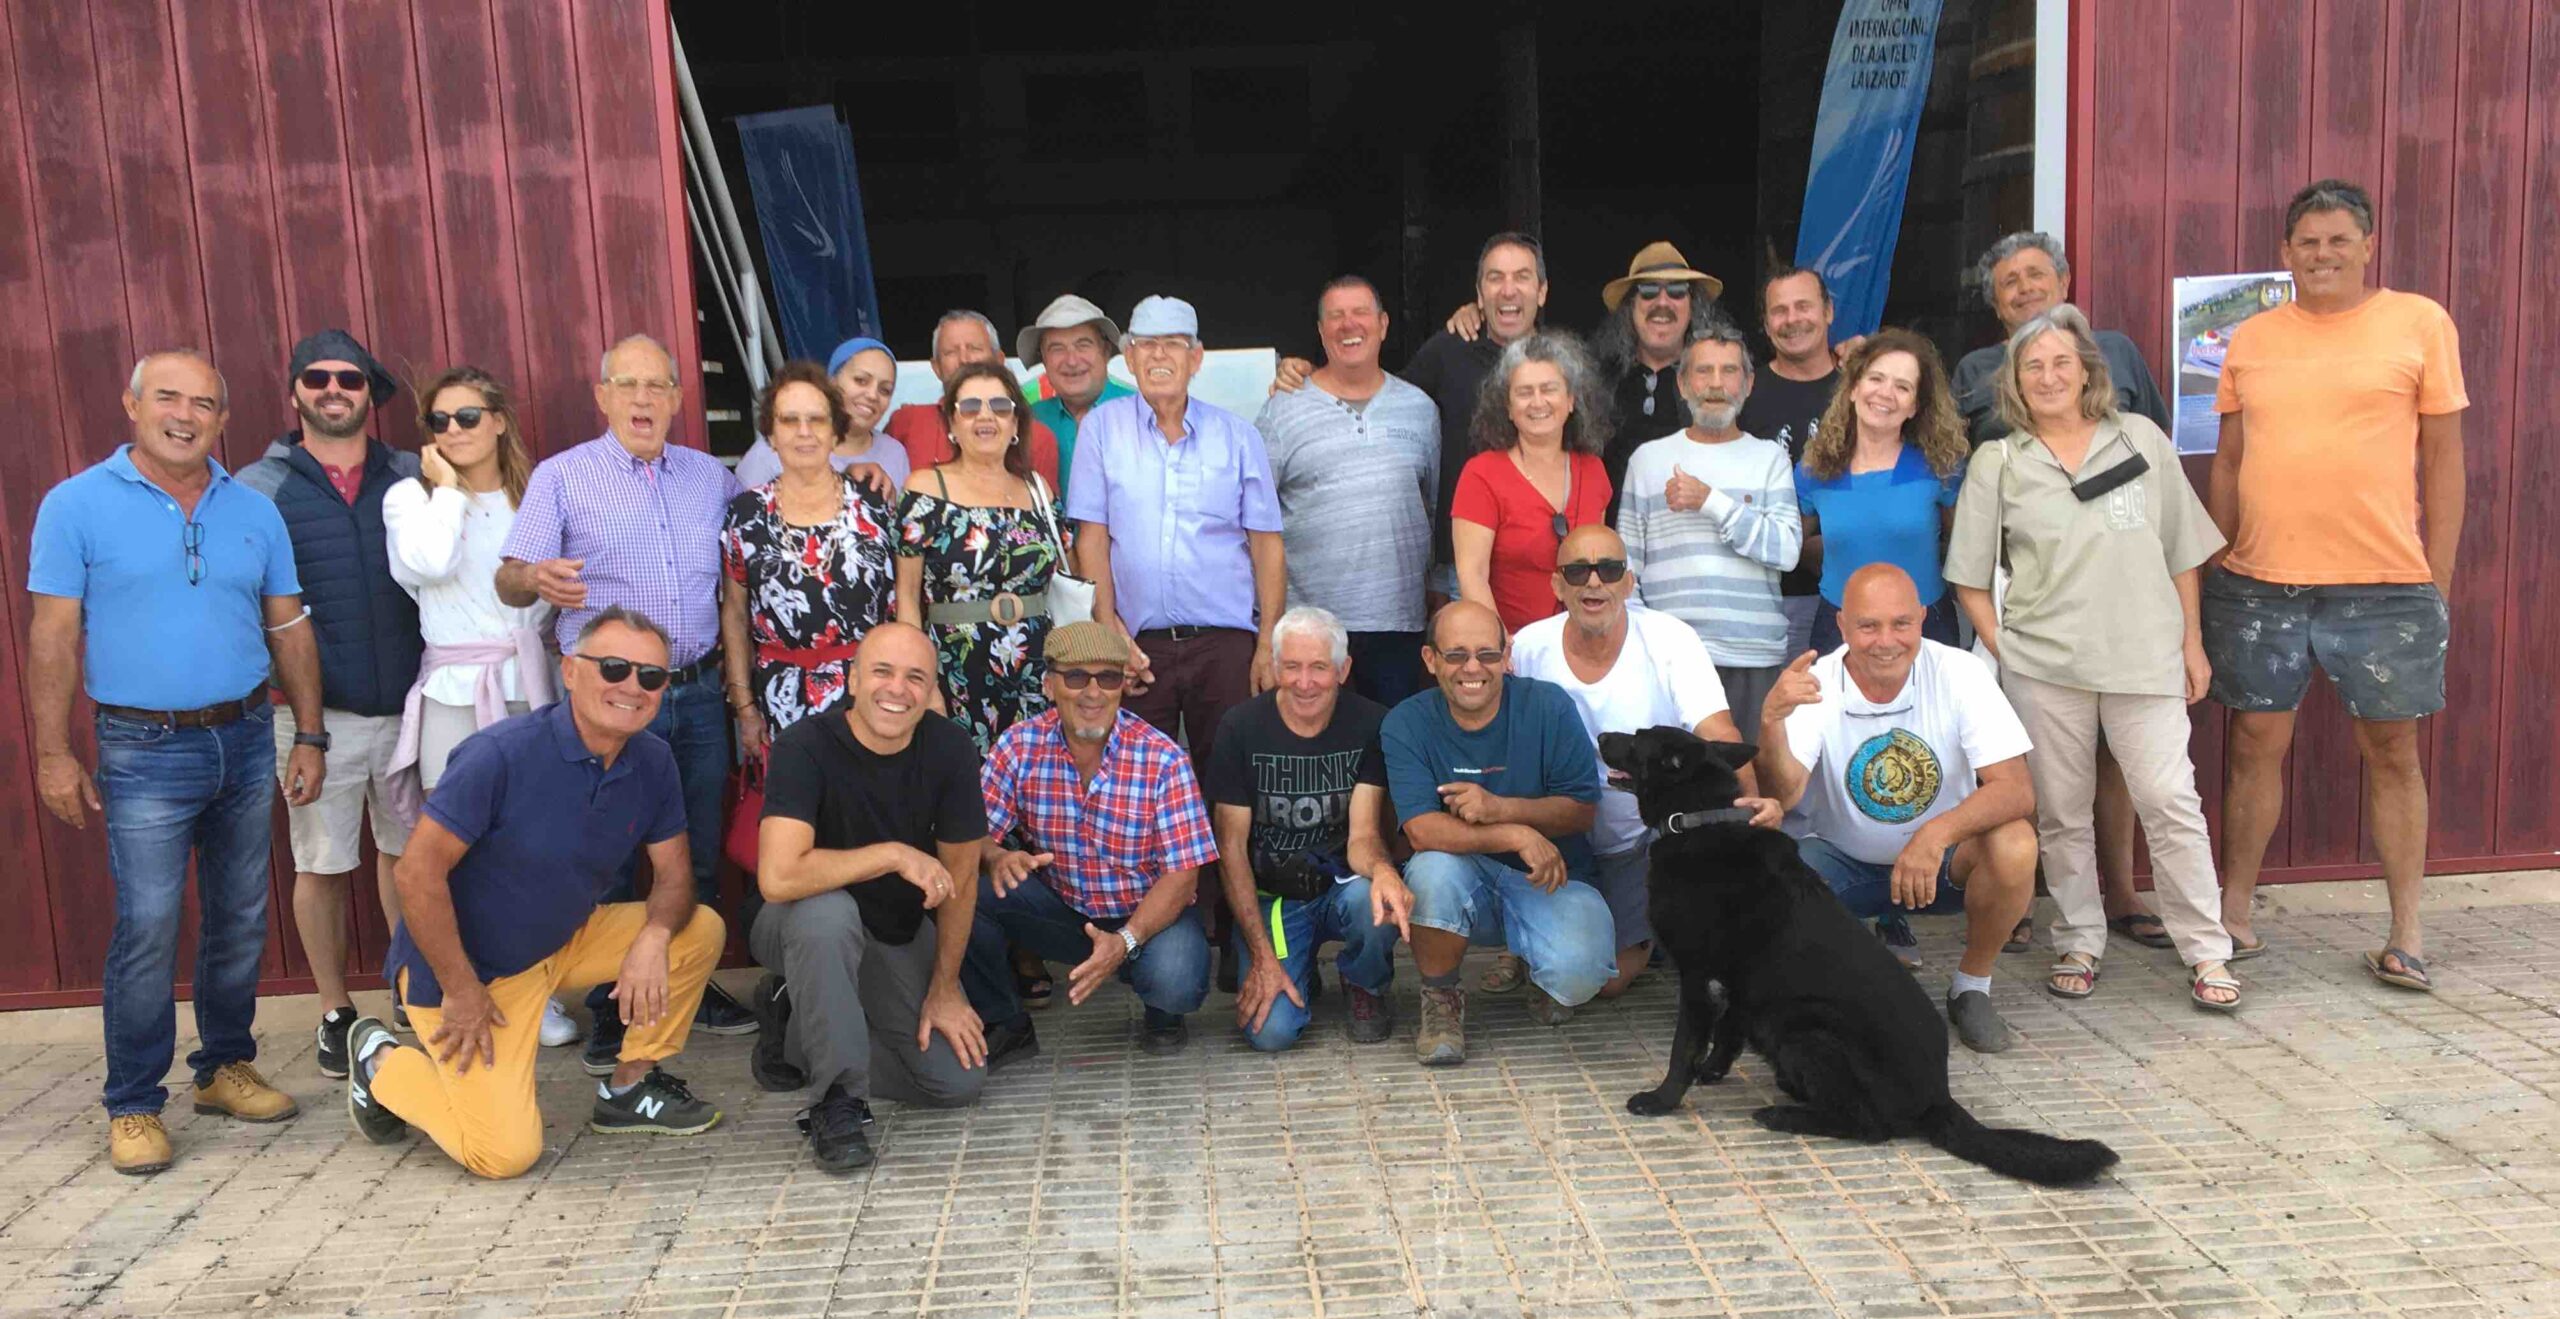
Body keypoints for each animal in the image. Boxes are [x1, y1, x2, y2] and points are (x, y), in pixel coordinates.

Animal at [1597, 727, 2119, 1193]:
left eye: (1637, 736)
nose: (1599, 735)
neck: (1703, 818)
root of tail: (1938, 1098)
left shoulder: (1698, 977)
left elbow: (1682, 1049)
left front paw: (1662, 1099)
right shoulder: (1737, 984)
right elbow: (1727, 1032)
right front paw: (1714, 1071)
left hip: (1804, 1029)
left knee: (1870, 1126)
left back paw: (1783, 1114)